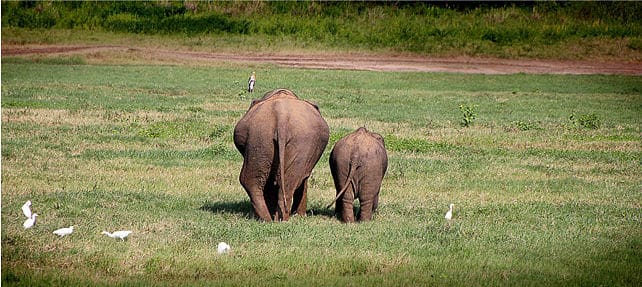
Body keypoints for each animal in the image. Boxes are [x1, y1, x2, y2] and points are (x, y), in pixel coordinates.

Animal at [231, 89, 328, 222]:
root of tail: (281, 117)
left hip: (261, 137)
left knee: (253, 180)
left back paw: (270, 219)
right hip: (277, 139)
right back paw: (278, 219)